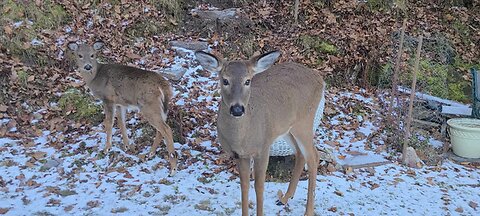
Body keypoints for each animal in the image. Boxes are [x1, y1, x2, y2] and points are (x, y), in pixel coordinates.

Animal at [67, 41, 178, 176]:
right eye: (79, 55)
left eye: (93, 55)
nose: (88, 66)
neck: (95, 77)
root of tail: (164, 86)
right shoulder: (120, 103)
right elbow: (121, 122)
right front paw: (126, 146)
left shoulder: (108, 99)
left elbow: (109, 123)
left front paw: (107, 148)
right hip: (159, 108)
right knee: (161, 129)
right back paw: (150, 154)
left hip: (149, 106)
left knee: (166, 129)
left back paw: (172, 168)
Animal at [195, 51, 326, 216]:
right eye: (225, 80)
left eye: (247, 81)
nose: (237, 109)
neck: (242, 137)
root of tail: (320, 79)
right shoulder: (240, 155)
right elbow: (244, 186)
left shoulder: (263, 147)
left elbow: (259, 186)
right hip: (286, 129)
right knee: (300, 154)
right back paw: (284, 198)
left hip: (304, 123)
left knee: (314, 156)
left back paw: (308, 211)